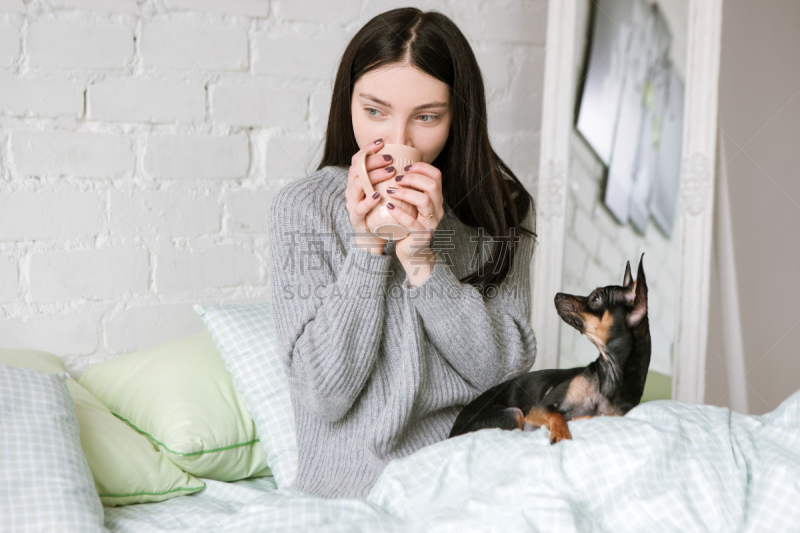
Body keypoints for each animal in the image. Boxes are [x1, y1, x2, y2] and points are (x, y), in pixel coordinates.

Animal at [450, 256, 648, 442]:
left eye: (596, 298)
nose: (558, 295)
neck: (608, 378)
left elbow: (588, 417)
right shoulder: (539, 408)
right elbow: (557, 414)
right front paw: (561, 433)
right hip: (514, 413)